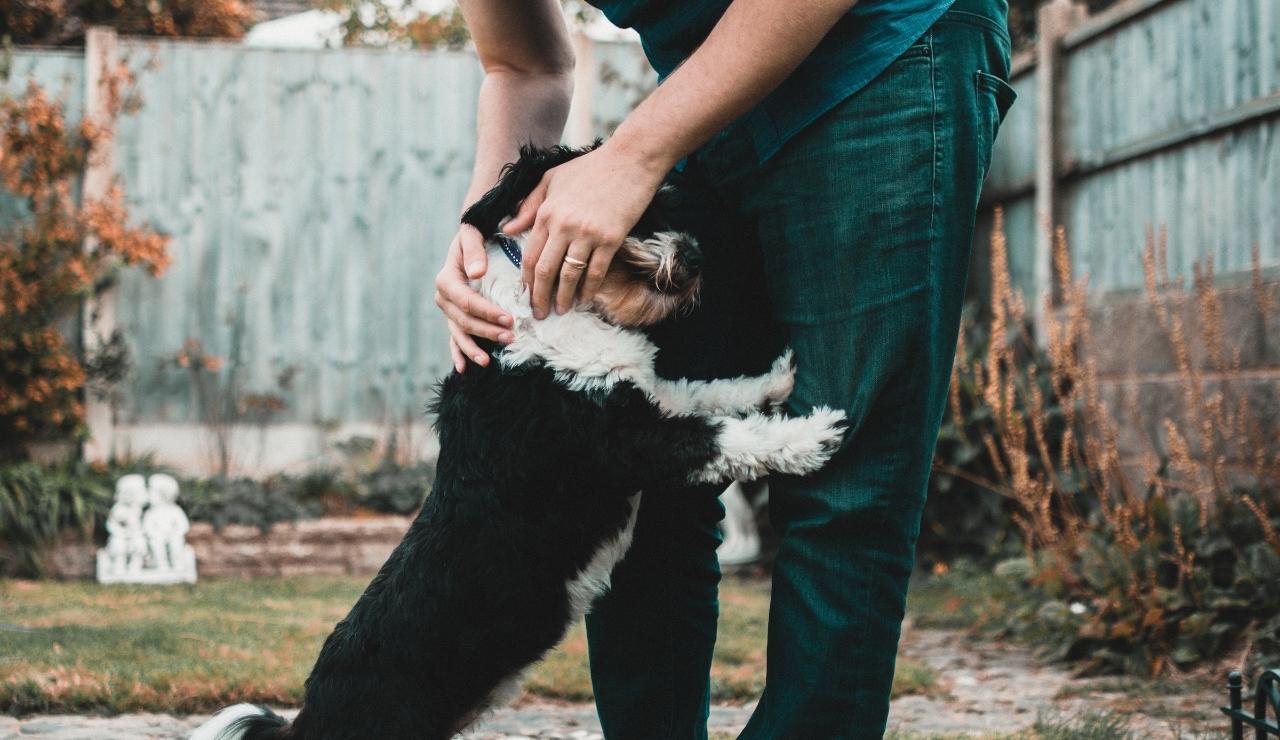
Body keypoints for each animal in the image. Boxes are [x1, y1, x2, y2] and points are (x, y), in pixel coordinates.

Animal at [192, 145, 849, 737]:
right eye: (640, 208)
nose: (696, 254)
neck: (546, 308)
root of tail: (304, 721)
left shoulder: (649, 397)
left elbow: (711, 394)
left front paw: (777, 379)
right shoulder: (627, 439)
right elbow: (723, 434)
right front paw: (813, 433)